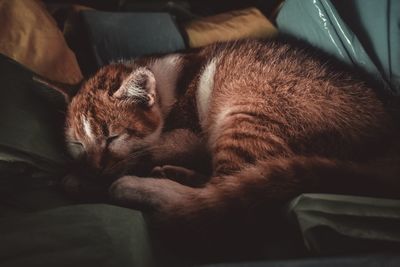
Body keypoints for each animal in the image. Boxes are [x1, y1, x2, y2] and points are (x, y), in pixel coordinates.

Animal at [36, 38, 398, 224]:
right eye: (78, 144)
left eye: (112, 136)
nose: (94, 167)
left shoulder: (190, 135)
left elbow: (141, 153)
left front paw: (83, 179)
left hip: (249, 111)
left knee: (219, 191)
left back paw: (138, 187)